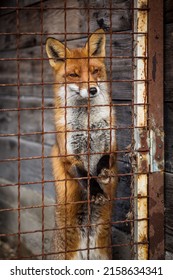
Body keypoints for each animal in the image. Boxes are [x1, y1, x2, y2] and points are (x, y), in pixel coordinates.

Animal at [45, 29, 117, 260]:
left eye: (94, 71)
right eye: (74, 75)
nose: (92, 90)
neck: (88, 122)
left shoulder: (111, 143)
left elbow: (104, 160)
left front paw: (104, 173)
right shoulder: (68, 156)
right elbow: (85, 174)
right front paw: (96, 192)